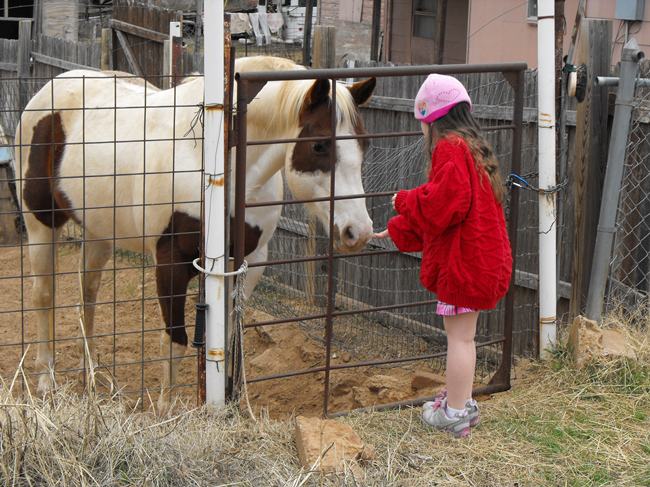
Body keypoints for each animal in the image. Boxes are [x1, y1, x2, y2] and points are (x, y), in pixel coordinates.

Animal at [15, 58, 378, 416]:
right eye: (319, 145)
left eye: (365, 143)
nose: (358, 232)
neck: (217, 161)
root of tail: (49, 90)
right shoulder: (170, 265)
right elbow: (174, 341)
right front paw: (164, 412)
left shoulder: (249, 263)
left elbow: (231, 338)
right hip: (41, 225)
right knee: (43, 296)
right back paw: (46, 381)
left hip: (97, 232)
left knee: (86, 297)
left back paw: (92, 375)